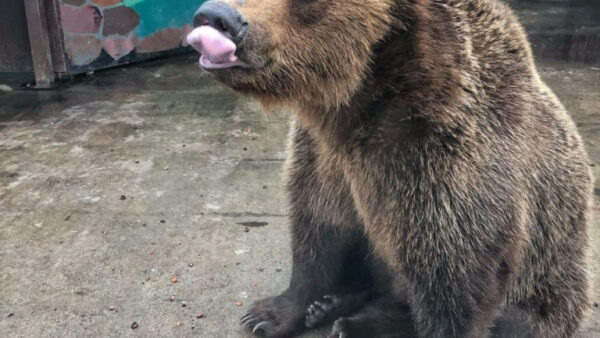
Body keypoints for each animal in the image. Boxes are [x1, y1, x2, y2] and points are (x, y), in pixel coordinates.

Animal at [190, 0, 592, 336]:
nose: (218, 16)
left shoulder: (444, 158)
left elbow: (457, 279)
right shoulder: (326, 155)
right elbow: (319, 228)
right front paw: (267, 314)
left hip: (551, 289)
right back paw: (332, 306)